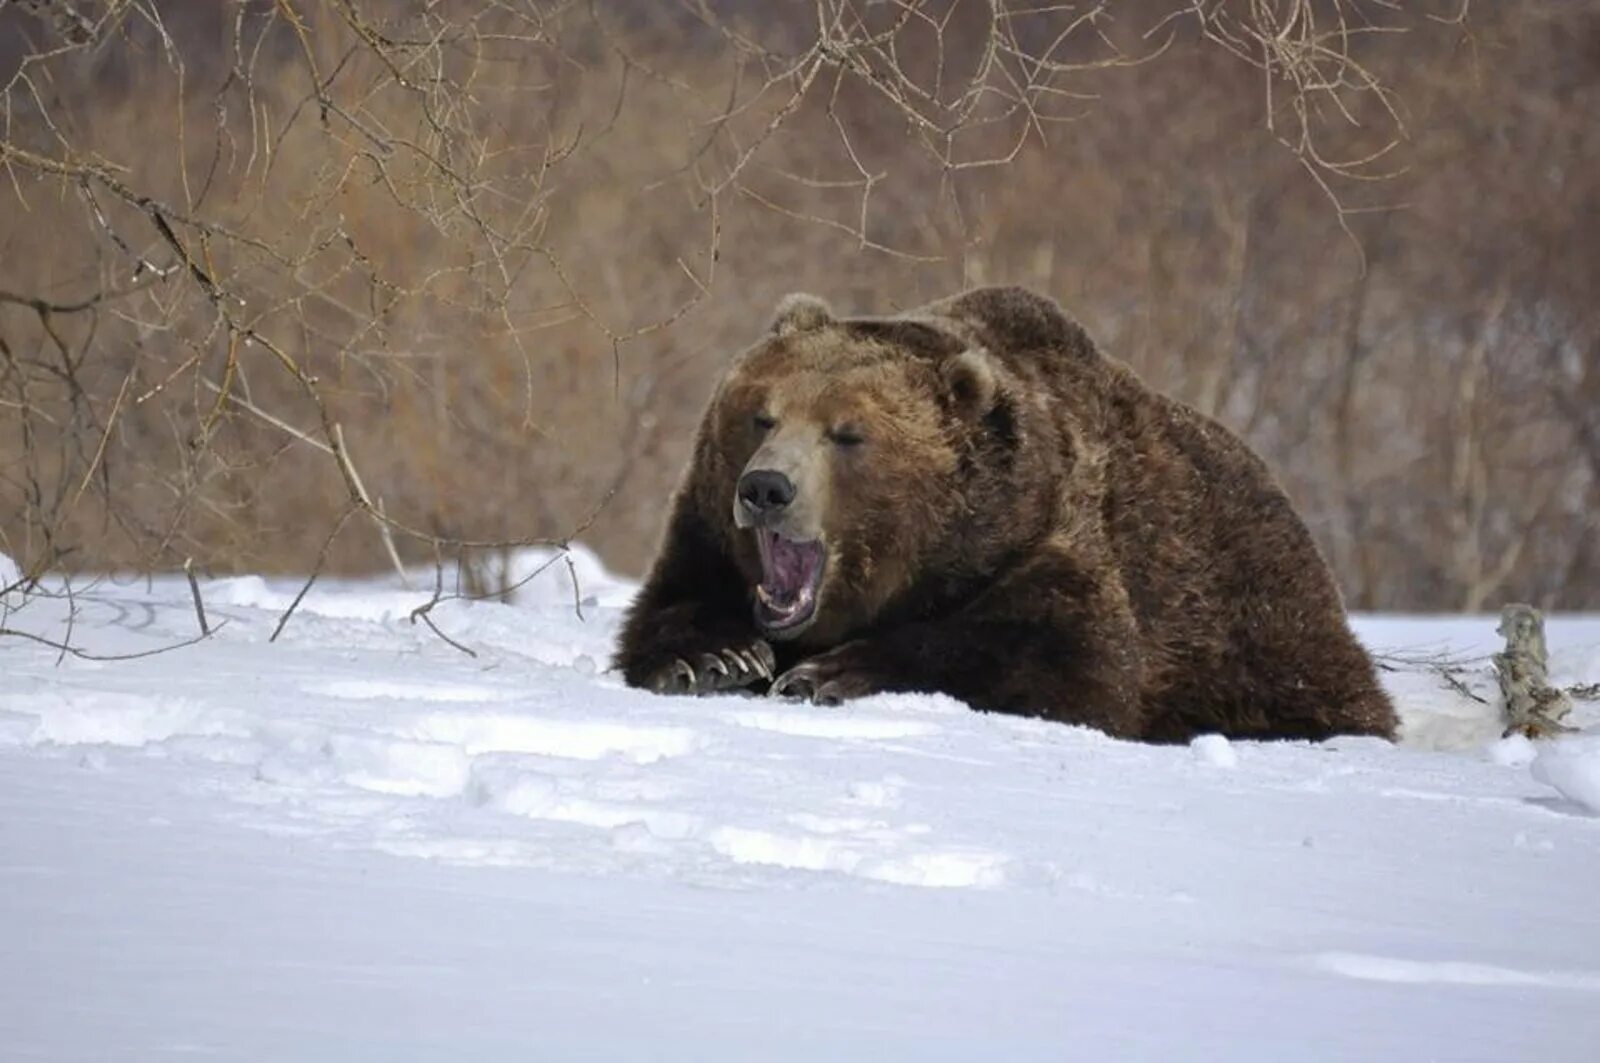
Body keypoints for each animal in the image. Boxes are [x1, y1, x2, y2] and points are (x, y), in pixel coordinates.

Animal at [617, 286, 1395, 742]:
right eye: (761, 414)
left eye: (848, 433)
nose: (766, 488)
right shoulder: (706, 532)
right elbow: (671, 607)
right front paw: (717, 657)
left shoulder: (1048, 539)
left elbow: (1067, 661)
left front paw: (827, 674)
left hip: (1260, 630)